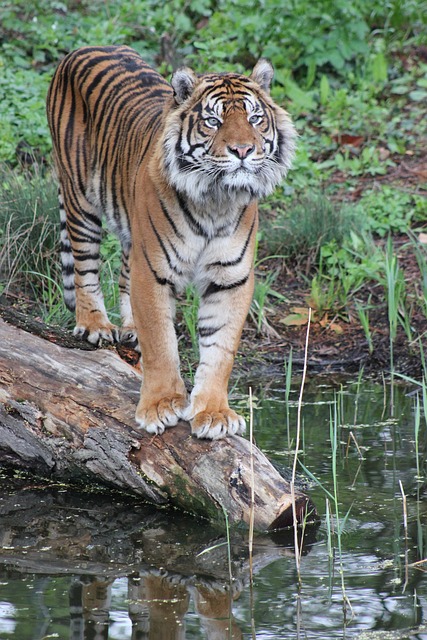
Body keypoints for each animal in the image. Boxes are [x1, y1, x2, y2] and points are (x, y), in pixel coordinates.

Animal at [46, 46, 294, 440]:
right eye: (213, 121)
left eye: (255, 119)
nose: (242, 150)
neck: (215, 200)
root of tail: (81, 50)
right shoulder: (153, 272)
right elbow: (161, 342)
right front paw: (160, 406)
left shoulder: (231, 278)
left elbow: (220, 348)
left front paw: (214, 412)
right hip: (79, 199)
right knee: (85, 267)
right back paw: (95, 325)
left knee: (123, 274)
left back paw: (129, 328)